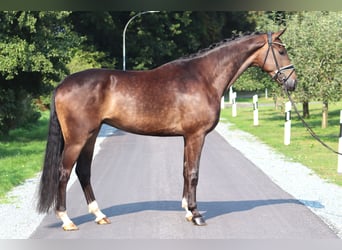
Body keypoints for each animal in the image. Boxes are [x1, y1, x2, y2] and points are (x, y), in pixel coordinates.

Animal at [37, 29, 296, 230]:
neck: (204, 77)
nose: (293, 82)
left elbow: (185, 170)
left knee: (83, 172)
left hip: (90, 137)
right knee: (64, 173)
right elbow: (193, 173)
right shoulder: (196, 136)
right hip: (77, 139)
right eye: (282, 51)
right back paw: (67, 220)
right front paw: (197, 215)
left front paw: (188, 211)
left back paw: (99, 215)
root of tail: (62, 84)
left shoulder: (187, 137)